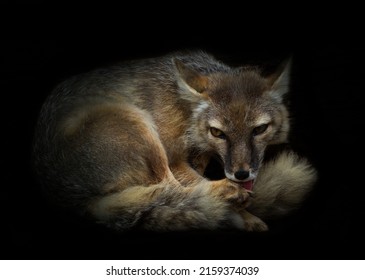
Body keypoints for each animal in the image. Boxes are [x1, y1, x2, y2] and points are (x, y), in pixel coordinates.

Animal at [32, 50, 316, 232]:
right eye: (219, 133)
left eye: (259, 129)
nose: (241, 174)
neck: (184, 110)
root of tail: (74, 202)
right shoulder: (175, 158)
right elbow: (193, 186)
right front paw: (239, 207)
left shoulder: (199, 158)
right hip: (137, 124)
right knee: (171, 189)